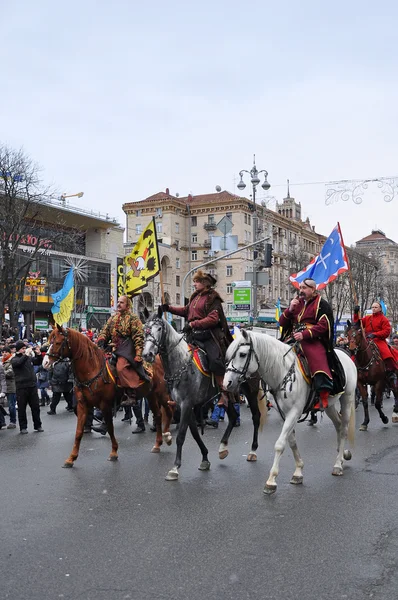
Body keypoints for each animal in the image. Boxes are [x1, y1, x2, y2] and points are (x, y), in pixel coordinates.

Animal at [42, 326, 175, 466]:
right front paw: (71, 458)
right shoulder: (82, 405)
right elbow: (78, 432)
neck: (92, 370)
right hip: (151, 395)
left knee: (169, 410)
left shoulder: (105, 405)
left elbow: (110, 428)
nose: (45, 362)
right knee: (158, 415)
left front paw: (114, 452)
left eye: (57, 342)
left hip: (161, 393)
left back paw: (167, 436)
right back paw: (158, 444)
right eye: (50, 342)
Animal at [141, 310, 266, 482]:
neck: (181, 363)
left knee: (255, 416)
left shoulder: (187, 404)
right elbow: (194, 432)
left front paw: (175, 468)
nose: (147, 354)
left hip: (250, 391)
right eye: (144, 329)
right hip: (226, 394)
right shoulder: (184, 405)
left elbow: (181, 435)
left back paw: (253, 451)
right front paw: (205, 459)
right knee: (233, 416)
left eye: (159, 329)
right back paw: (223, 447)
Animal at [224, 330, 358, 494]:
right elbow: (292, 442)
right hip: (328, 405)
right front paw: (298, 472)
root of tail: (346, 355)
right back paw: (342, 454)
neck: (281, 371)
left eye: (242, 354)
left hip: (347, 398)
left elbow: (280, 444)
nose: (227, 383)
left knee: (344, 429)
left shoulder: (294, 412)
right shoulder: (284, 414)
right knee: (338, 425)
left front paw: (271, 480)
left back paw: (338, 464)